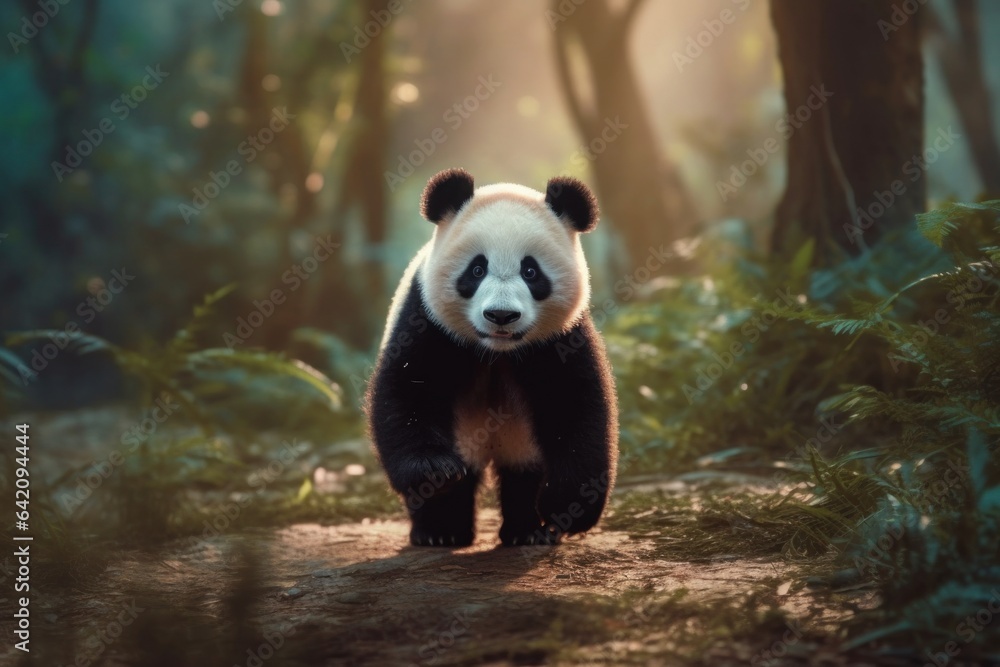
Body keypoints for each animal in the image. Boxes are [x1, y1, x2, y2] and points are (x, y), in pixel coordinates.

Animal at [366, 168, 618, 547]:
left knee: (523, 472)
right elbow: (408, 392)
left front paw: (565, 508)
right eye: (476, 270)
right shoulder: (426, 320)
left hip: (519, 437)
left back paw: (526, 530)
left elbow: (575, 408)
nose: (501, 315)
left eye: (531, 271)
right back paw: (440, 530)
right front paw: (435, 473)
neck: (496, 353)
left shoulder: (560, 338)